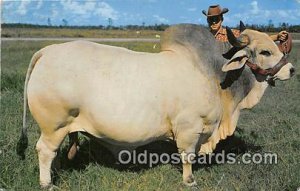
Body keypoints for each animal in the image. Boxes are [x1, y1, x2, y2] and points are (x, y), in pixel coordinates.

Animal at [15, 23, 292, 188]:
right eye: (265, 52)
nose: (291, 69)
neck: (213, 74)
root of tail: (48, 51)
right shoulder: (189, 128)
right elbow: (188, 156)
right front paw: (189, 180)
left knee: (53, 153)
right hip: (54, 125)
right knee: (44, 150)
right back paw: (47, 183)